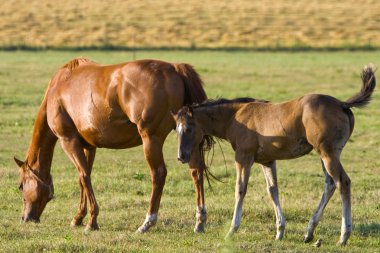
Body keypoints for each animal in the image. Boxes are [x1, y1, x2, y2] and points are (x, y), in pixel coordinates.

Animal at [15, 57, 211, 233]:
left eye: (21, 186)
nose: (25, 218)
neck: (59, 88)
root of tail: (174, 68)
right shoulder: (88, 146)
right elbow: (83, 178)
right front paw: (78, 217)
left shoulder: (68, 141)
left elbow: (84, 176)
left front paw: (92, 221)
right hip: (188, 137)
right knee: (196, 171)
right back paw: (200, 221)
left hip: (151, 140)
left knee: (159, 174)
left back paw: (147, 222)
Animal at [172, 66, 378, 246]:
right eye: (176, 130)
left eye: (189, 128)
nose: (181, 156)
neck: (235, 116)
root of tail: (342, 104)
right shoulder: (267, 160)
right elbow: (273, 190)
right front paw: (280, 231)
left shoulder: (243, 157)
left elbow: (240, 189)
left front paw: (232, 230)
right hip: (325, 154)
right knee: (330, 184)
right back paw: (309, 232)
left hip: (328, 154)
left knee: (343, 182)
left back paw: (343, 236)